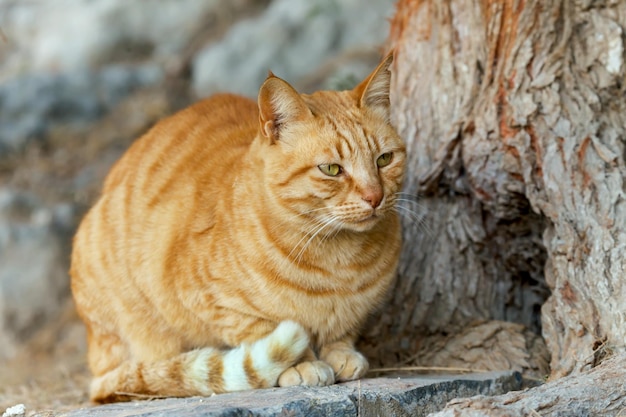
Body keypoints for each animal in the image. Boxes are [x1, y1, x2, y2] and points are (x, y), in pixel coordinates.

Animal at [69, 50, 404, 402]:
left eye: (384, 160)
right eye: (331, 169)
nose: (375, 197)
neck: (340, 264)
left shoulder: (356, 311)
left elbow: (342, 331)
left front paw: (340, 353)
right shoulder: (209, 302)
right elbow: (264, 330)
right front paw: (301, 364)